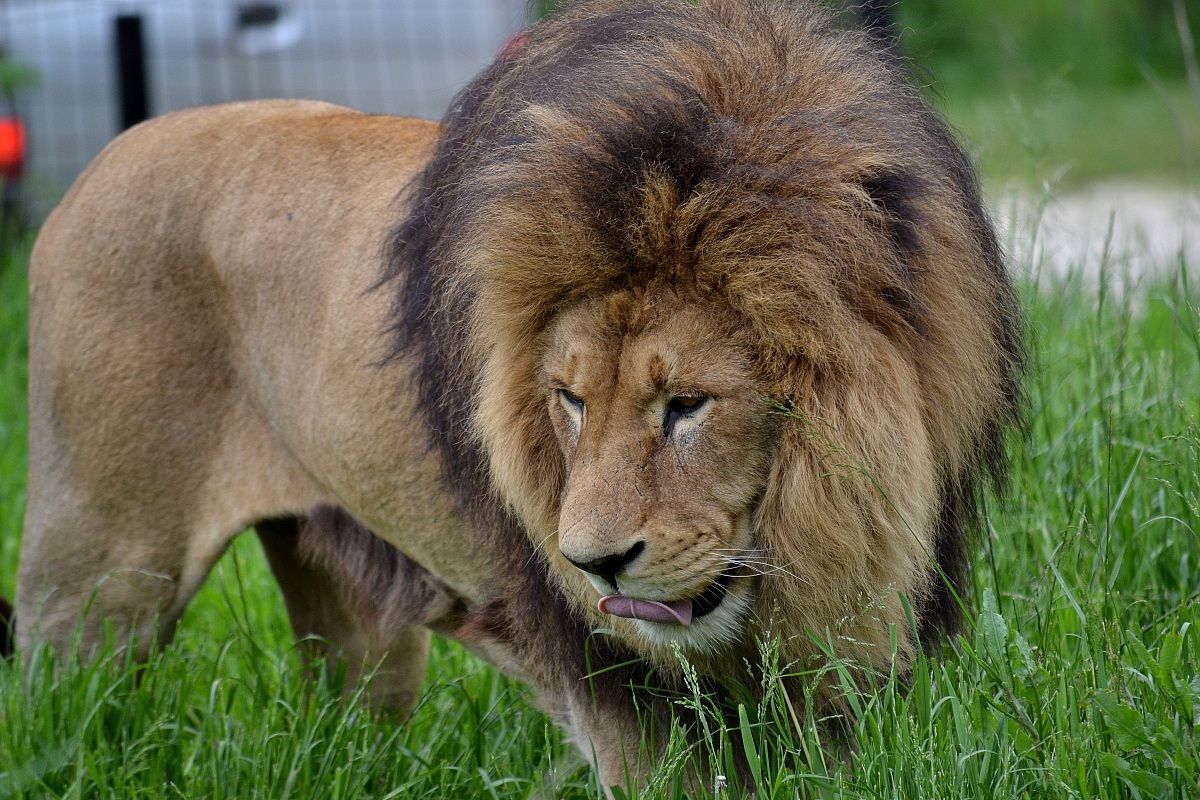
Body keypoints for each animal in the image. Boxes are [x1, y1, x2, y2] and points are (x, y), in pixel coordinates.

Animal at [10, 0, 1023, 790]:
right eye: (569, 400)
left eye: (687, 404)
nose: (594, 565)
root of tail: (98, 166)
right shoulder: (619, 696)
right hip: (99, 583)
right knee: (56, 714)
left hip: (361, 639)